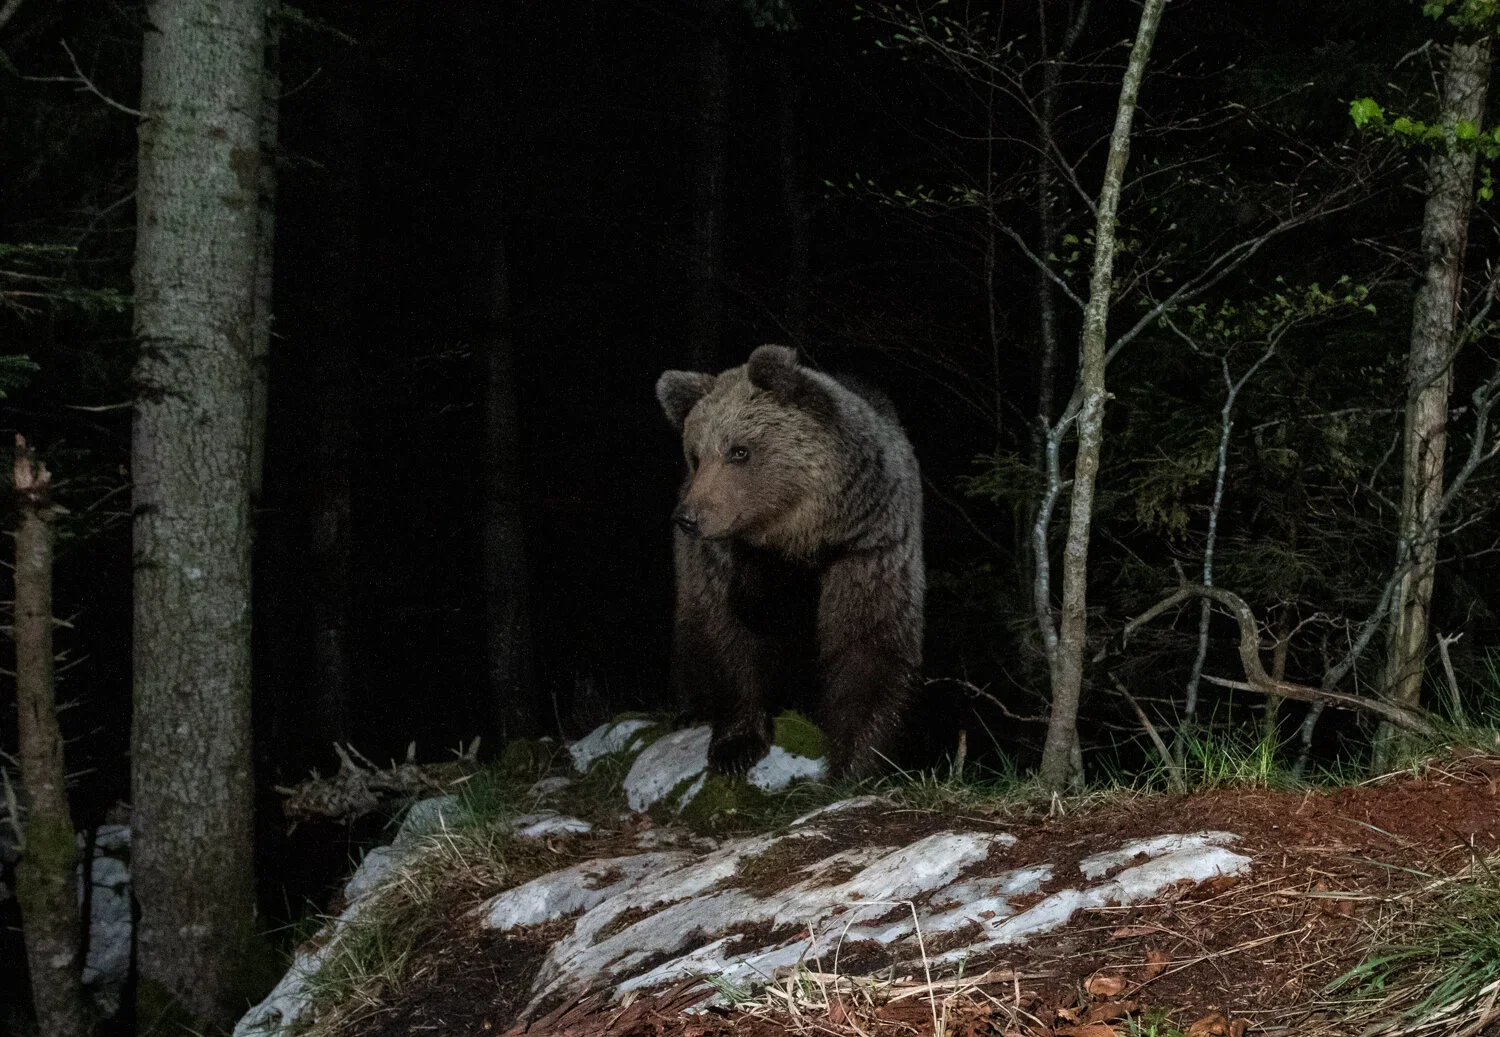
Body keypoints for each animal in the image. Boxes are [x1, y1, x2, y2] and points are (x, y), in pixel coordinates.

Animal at [654, 344, 925, 778]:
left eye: (739, 450)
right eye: (695, 456)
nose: (688, 518)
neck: (799, 535)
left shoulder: (868, 546)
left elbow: (870, 643)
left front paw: (857, 763)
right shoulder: (731, 561)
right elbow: (725, 635)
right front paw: (735, 745)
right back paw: (690, 710)